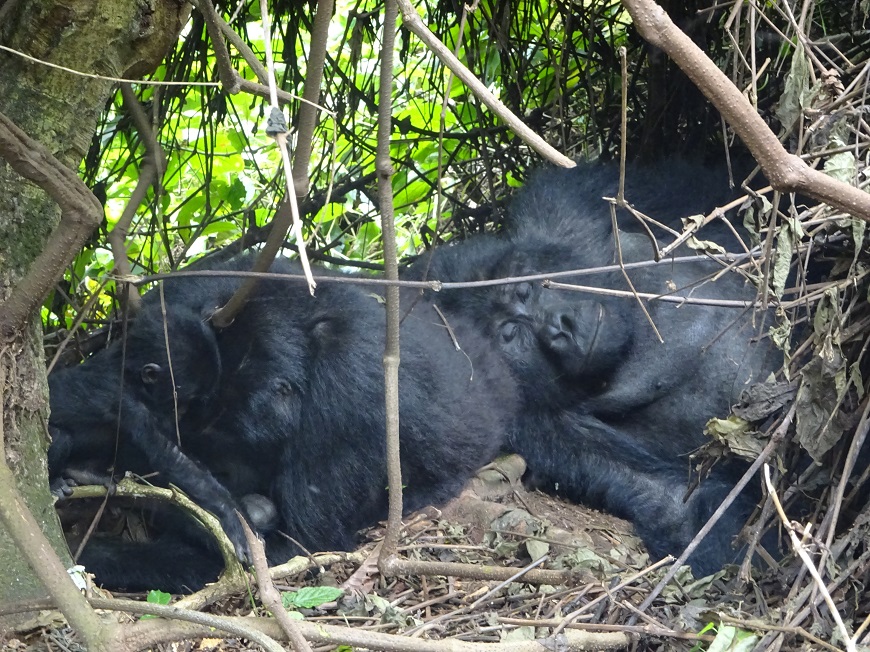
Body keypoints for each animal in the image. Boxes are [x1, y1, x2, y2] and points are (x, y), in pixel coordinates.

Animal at [408, 159, 784, 576]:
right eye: (509, 333)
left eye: (525, 290)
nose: (560, 328)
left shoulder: (564, 209)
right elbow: (674, 504)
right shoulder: (522, 419)